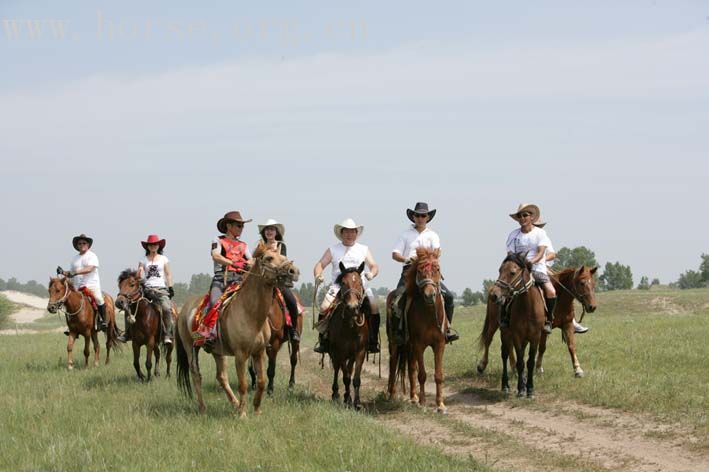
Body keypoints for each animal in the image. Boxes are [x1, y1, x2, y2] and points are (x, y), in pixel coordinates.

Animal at [177, 243, 302, 416]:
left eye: (283, 256)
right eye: (269, 258)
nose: (293, 271)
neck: (250, 313)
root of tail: (184, 309)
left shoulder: (259, 352)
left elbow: (262, 381)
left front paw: (256, 410)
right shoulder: (241, 355)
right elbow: (243, 384)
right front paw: (243, 414)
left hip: (217, 351)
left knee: (221, 377)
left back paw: (235, 404)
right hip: (191, 347)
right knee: (196, 374)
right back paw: (203, 408)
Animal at [324, 262, 368, 410]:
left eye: (360, 283)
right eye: (343, 283)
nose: (352, 307)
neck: (351, 326)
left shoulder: (360, 352)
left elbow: (355, 378)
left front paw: (357, 402)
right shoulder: (340, 352)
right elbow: (346, 377)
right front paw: (347, 398)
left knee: (348, 369)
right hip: (334, 352)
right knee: (338, 369)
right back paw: (336, 394)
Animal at [384, 247, 446, 412]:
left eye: (437, 269)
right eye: (419, 271)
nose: (430, 295)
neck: (429, 314)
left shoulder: (439, 344)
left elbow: (438, 375)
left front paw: (440, 405)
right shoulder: (419, 344)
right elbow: (422, 374)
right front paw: (423, 403)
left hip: (409, 346)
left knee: (411, 367)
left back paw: (413, 397)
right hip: (395, 343)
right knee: (393, 364)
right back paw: (392, 395)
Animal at [490, 253, 544, 396]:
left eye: (512, 272)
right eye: (499, 270)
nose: (494, 295)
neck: (528, 307)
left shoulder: (536, 336)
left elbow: (530, 362)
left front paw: (529, 389)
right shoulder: (517, 335)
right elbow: (520, 362)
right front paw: (521, 389)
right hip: (505, 334)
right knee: (504, 355)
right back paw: (505, 385)